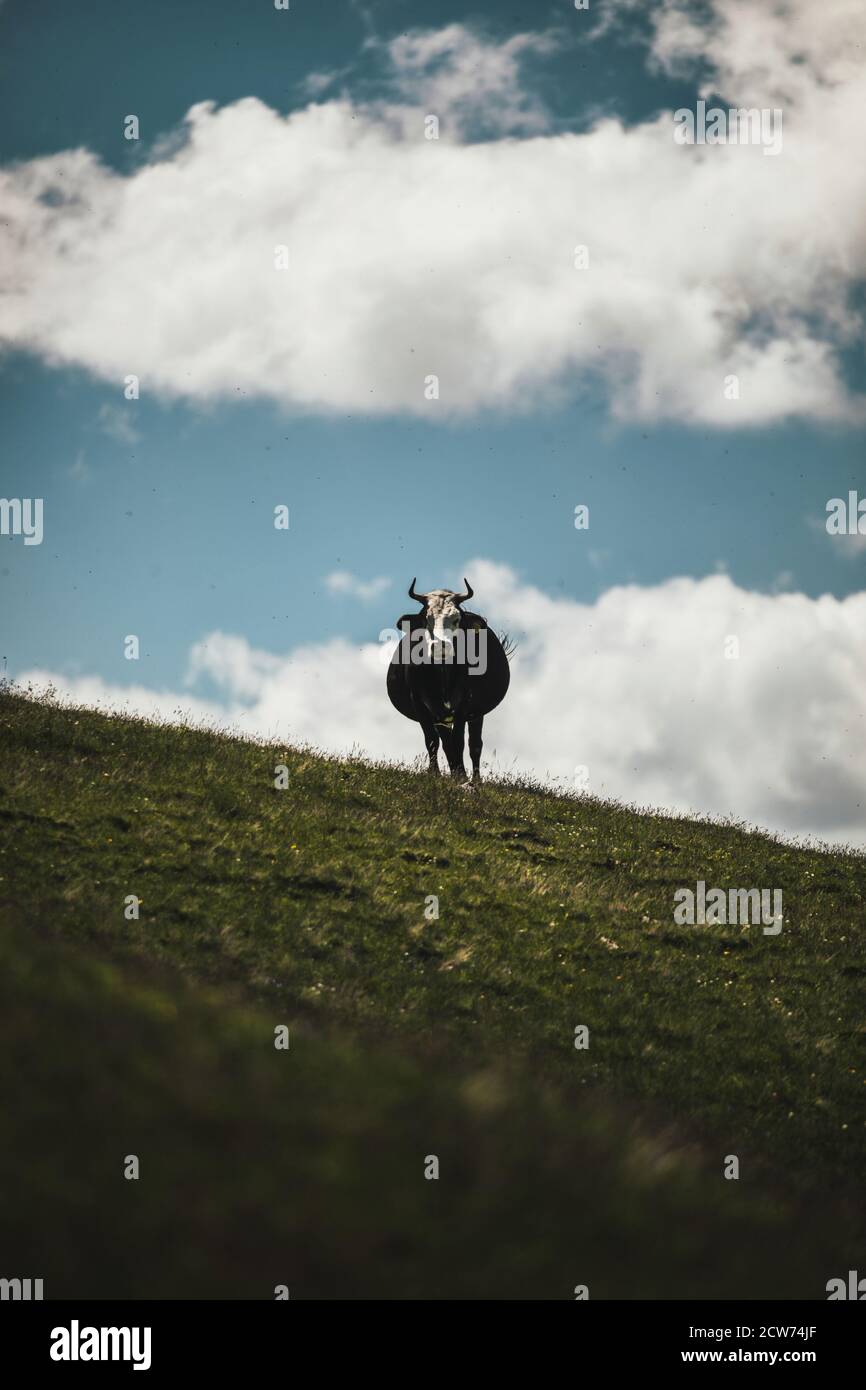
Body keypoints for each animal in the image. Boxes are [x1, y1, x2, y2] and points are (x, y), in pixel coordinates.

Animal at [386, 578, 511, 782]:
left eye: (456, 619)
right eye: (426, 619)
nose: (440, 645)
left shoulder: (465, 702)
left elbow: (459, 741)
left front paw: (461, 776)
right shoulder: (421, 702)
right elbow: (432, 740)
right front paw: (435, 773)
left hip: (477, 712)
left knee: (475, 744)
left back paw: (476, 779)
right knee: (446, 741)